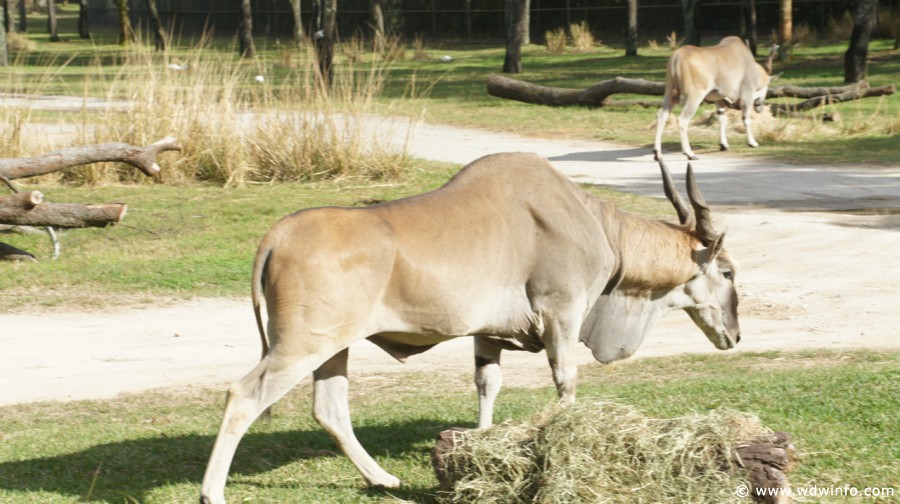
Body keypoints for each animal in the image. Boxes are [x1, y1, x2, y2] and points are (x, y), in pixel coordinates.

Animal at [200, 154, 740, 504]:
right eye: (729, 272)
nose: (734, 337)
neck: (595, 224)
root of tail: (277, 235)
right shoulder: (561, 315)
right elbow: (566, 385)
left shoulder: (487, 335)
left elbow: (487, 383)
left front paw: (475, 452)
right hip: (301, 346)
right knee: (244, 396)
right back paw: (213, 492)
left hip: (333, 348)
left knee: (329, 408)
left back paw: (383, 480)